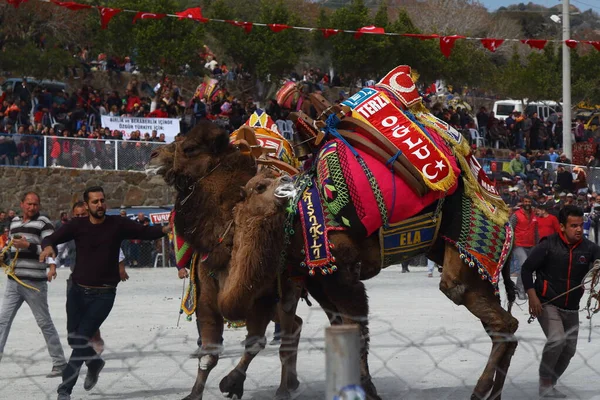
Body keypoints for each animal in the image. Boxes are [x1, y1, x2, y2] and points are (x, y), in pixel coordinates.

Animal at [148, 122, 516, 400]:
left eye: (189, 148)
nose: (152, 155)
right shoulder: (221, 286)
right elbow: (213, 348)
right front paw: (199, 393)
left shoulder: (330, 277)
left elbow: (350, 331)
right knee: (503, 327)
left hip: (463, 253)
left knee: (488, 314)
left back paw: (481, 390)